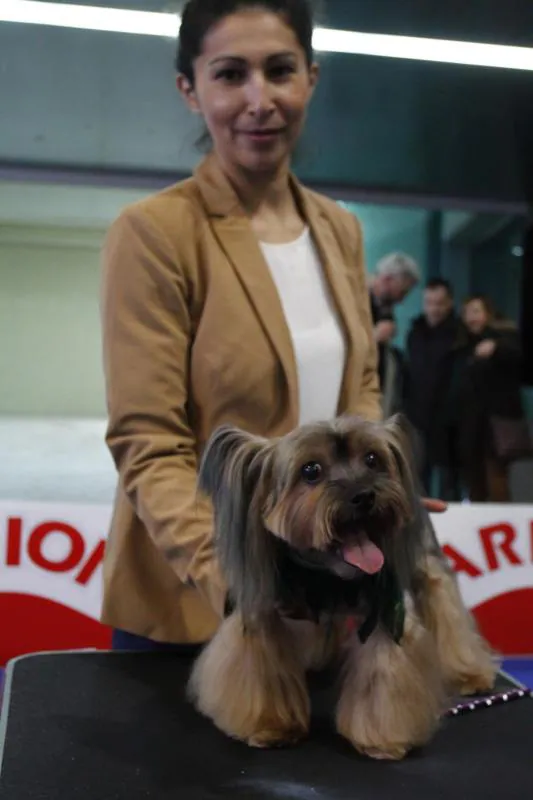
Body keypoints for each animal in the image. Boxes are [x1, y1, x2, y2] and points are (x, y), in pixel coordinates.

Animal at [187, 416, 494, 760]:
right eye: (310, 470)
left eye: (372, 459)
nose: (365, 495)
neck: (326, 573)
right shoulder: (263, 611)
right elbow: (265, 669)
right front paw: (270, 726)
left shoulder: (386, 612)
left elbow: (383, 673)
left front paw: (382, 738)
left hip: (424, 556)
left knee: (443, 602)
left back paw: (469, 673)